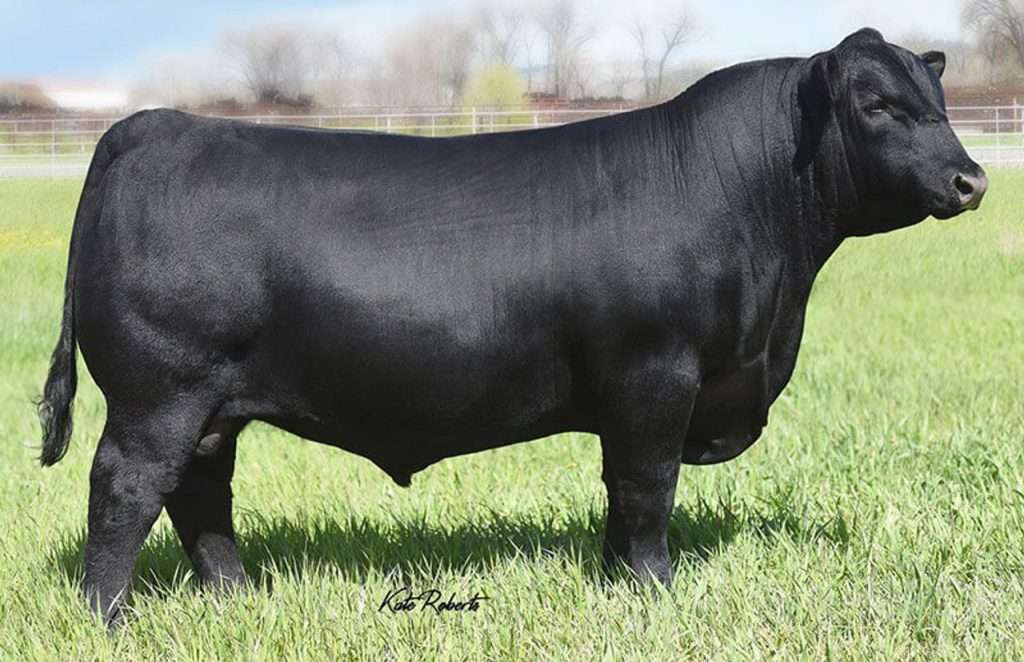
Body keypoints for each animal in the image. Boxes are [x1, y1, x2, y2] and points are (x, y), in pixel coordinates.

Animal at [38, 28, 987, 626]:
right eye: (875, 105)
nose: (972, 180)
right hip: (160, 391)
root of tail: (152, 125)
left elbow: (618, 492)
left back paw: (235, 599)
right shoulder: (656, 373)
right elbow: (647, 489)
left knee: (200, 492)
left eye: (939, 99)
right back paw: (109, 618)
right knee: (126, 489)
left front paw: (615, 581)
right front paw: (655, 590)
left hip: (210, 406)